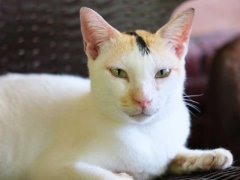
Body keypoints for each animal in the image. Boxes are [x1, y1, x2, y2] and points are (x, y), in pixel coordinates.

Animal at [0, 6, 233, 179]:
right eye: (119, 72)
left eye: (162, 73)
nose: (143, 99)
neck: (145, 133)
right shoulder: (49, 167)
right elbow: (106, 176)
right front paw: (123, 175)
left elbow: (171, 157)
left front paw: (209, 156)